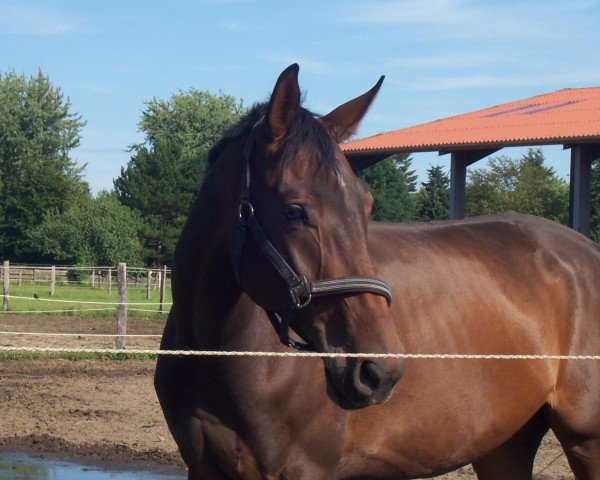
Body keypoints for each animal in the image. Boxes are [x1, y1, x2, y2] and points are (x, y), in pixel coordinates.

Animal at [154, 64, 600, 480]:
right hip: (504, 444)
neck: (218, 353)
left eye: (366, 205)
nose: (378, 369)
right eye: (294, 210)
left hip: (585, 441)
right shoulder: (202, 467)